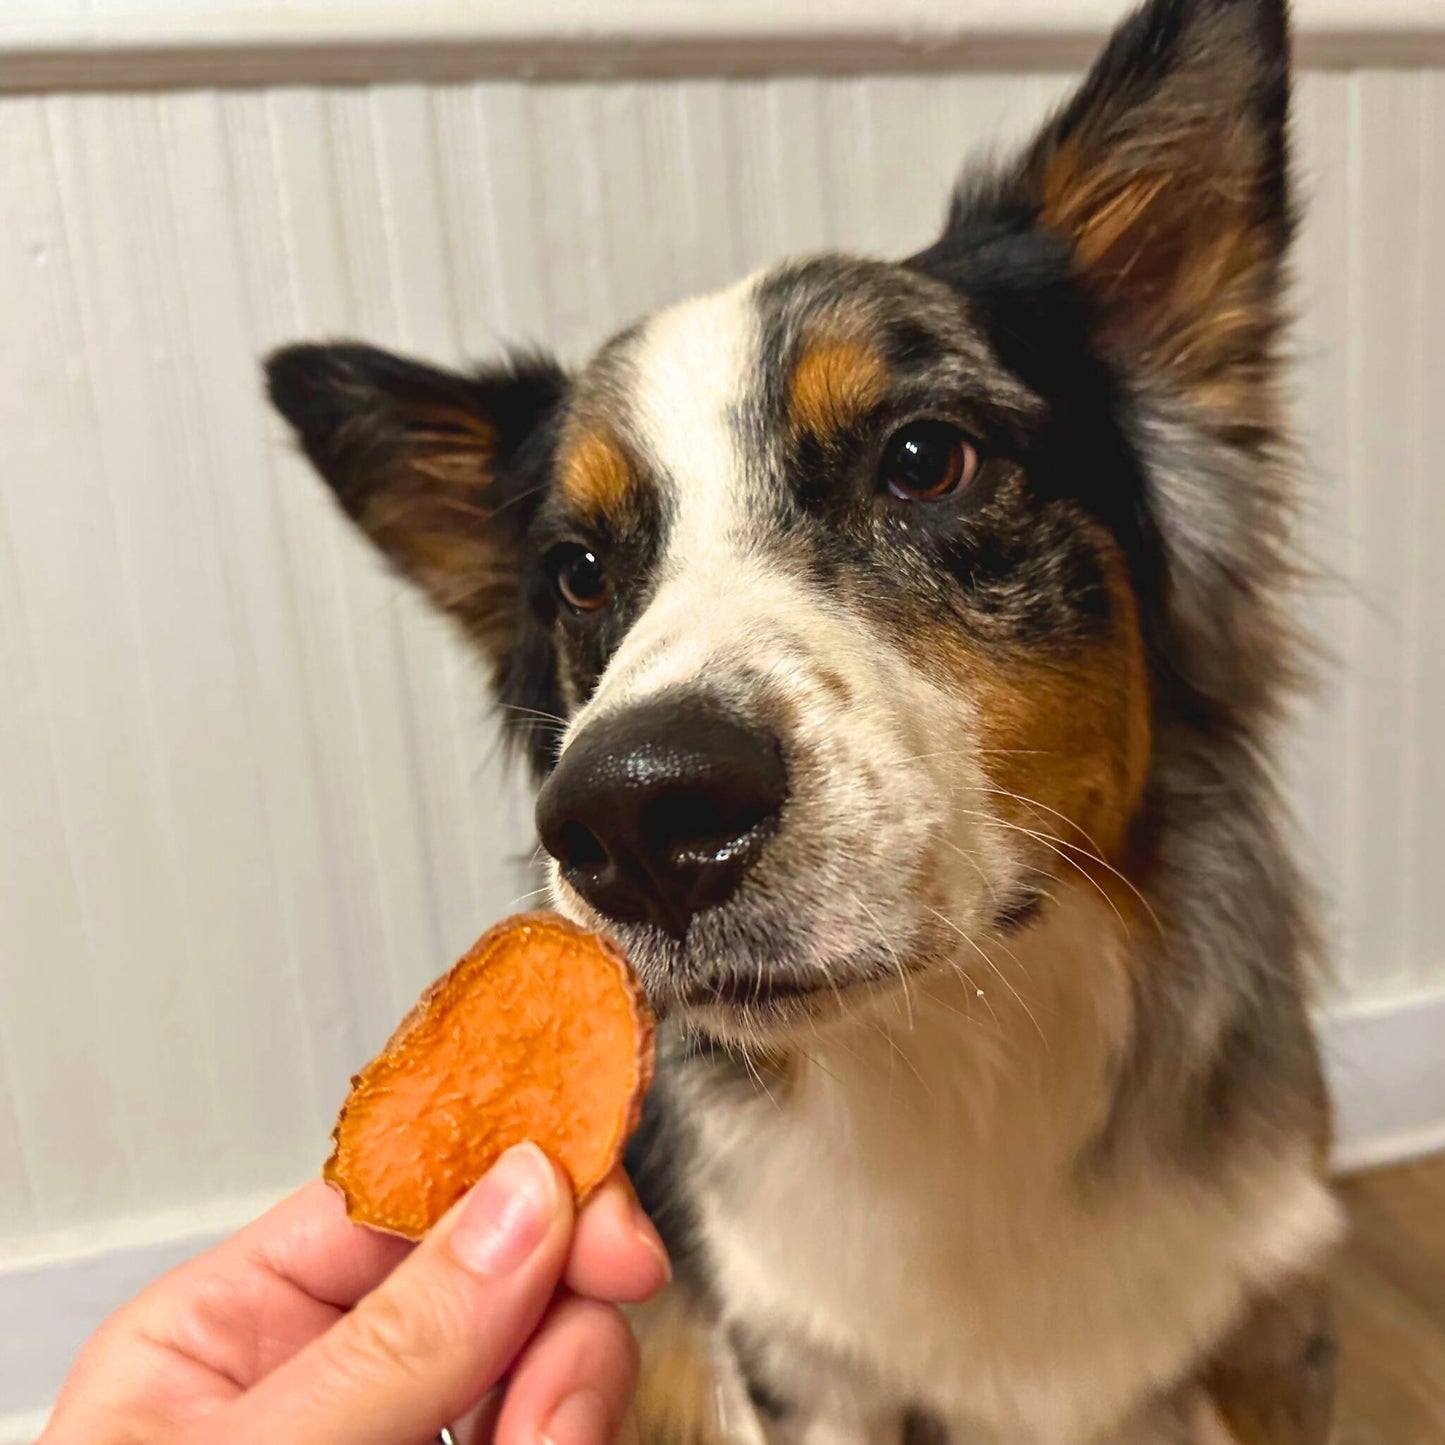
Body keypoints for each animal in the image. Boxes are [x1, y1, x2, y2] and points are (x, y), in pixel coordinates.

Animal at [268, 0, 1340, 1433]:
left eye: (923, 459)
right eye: (577, 571)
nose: (636, 818)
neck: (955, 1060)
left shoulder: (1266, 1330)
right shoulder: (798, 1360)